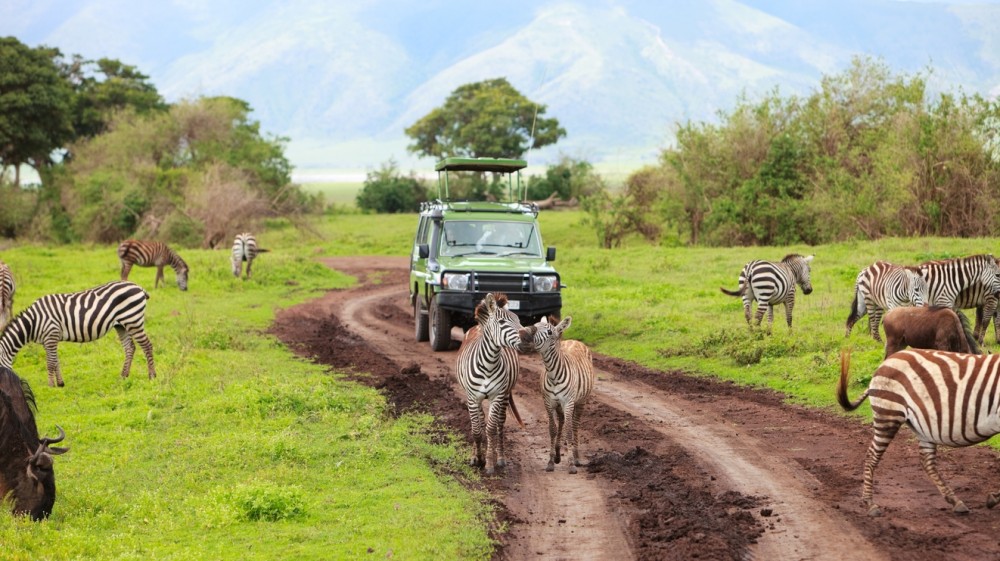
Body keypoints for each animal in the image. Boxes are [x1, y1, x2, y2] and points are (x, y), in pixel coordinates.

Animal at [0, 282, 155, 388]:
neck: (34, 321)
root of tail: (138, 287)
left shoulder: (51, 335)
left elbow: (50, 363)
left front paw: (51, 385)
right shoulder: (48, 340)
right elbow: (56, 361)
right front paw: (60, 383)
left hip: (133, 320)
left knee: (147, 345)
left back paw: (152, 376)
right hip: (122, 325)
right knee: (130, 348)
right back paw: (123, 376)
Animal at [458, 290, 528, 474]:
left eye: (518, 319)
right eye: (502, 322)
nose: (528, 337)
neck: (488, 364)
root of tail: (477, 326)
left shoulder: (497, 396)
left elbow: (490, 429)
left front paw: (489, 463)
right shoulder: (472, 397)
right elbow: (476, 430)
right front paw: (477, 458)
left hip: (505, 395)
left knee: (499, 424)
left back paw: (500, 458)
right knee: (480, 421)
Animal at [516, 316, 592, 472]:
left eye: (549, 332)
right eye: (535, 324)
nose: (523, 332)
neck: (553, 374)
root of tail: (575, 340)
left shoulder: (568, 402)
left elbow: (569, 431)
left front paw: (571, 464)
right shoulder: (548, 402)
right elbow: (552, 429)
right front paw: (551, 461)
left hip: (581, 401)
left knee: (575, 425)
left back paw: (576, 457)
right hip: (560, 405)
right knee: (562, 421)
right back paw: (558, 454)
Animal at [840, 350, 1000, 516]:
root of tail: (886, 362)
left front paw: (993, 498)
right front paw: (994, 498)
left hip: (922, 428)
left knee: (926, 461)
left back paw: (955, 501)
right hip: (888, 414)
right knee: (872, 455)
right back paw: (870, 504)